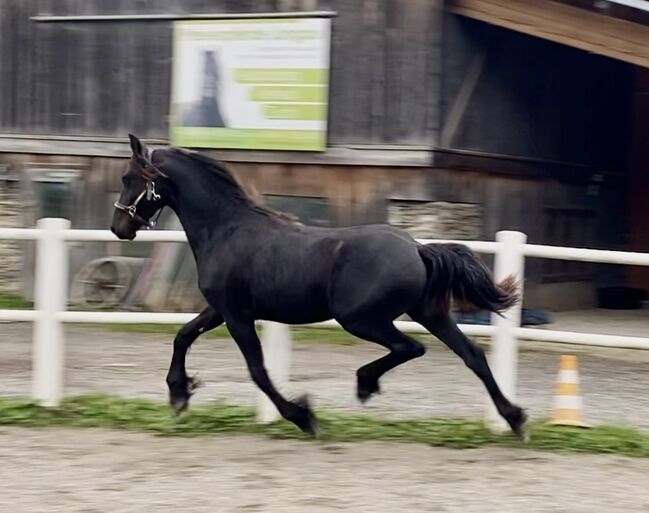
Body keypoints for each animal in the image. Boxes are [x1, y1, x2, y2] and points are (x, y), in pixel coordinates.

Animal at [111, 134, 529, 441]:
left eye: (129, 178)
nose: (119, 228)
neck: (226, 229)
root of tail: (417, 248)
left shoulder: (237, 315)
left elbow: (258, 371)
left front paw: (302, 416)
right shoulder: (220, 309)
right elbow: (183, 335)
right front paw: (179, 394)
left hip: (361, 319)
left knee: (410, 347)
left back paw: (365, 384)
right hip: (428, 313)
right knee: (472, 355)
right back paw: (515, 418)